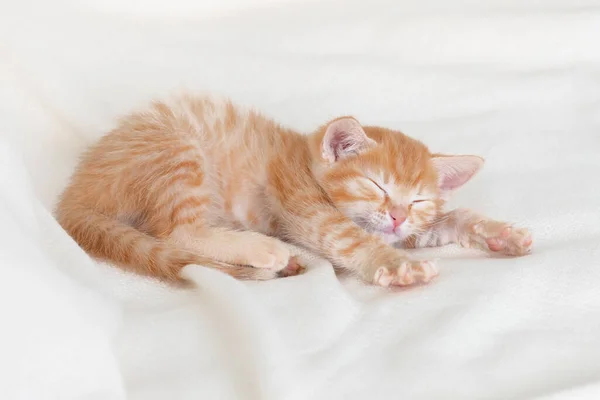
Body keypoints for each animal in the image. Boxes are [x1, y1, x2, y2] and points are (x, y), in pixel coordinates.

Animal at [54, 94, 532, 288]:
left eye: (418, 201)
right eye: (375, 184)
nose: (397, 216)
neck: (303, 158)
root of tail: (76, 191)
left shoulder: (410, 229)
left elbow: (450, 220)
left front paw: (498, 232)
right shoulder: (301, 204)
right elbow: (345, 236)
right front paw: (396, 266)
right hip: (177, 148)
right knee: (176, 232)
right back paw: (263, 249)